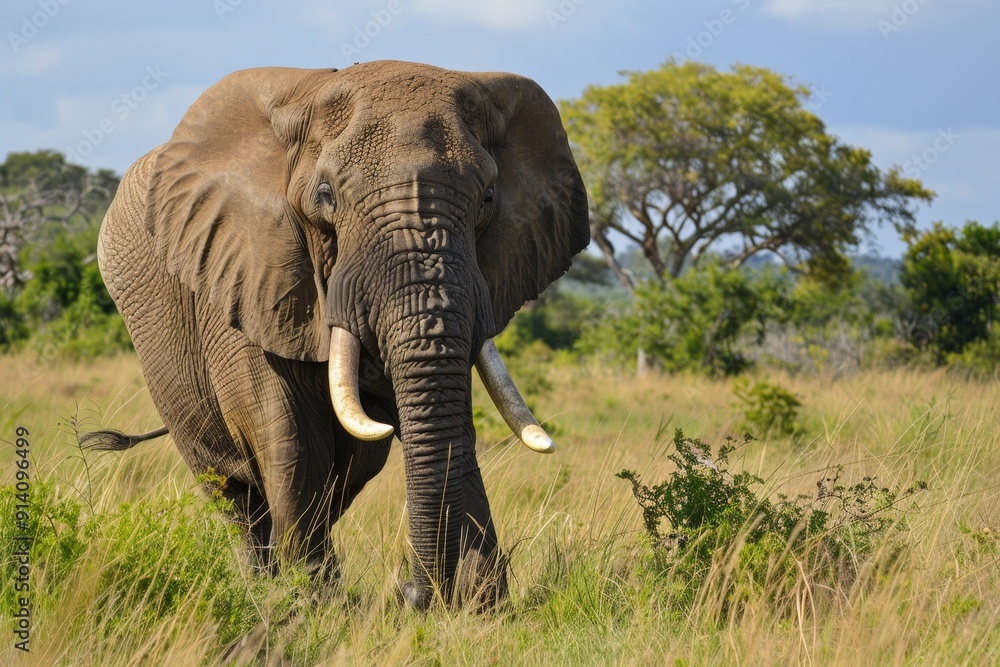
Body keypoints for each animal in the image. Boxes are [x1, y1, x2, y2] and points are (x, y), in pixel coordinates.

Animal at [79, 60, 589, 610]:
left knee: (346, 473)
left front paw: (478, 605)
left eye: (489, 198)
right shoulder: (243, 272)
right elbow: (293, 440)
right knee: (234, 493)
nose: (412, 591)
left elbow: (444, 425)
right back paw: (263, 588)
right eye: (325, 197)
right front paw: (310, 606)